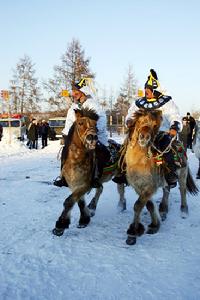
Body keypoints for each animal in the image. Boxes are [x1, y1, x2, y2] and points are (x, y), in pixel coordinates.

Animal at [52, 108, 125, 237]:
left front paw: (60, 225)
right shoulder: (74, 184)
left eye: (95, 125)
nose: (92, 137)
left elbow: (69, 201)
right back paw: (92, 207)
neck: (76, 161)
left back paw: (121, 206)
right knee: (100, 189)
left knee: (120, 190)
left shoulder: (85, 184)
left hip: (119, 175)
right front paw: (84, 219)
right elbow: (79, 201)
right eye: (80, 123)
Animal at [124, 109, 198, 245]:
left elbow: (138, 205)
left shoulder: (149, 187)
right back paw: (163, 209)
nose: (144, 137)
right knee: (166, 190)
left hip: (182, 174)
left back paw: (184, 211)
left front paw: (133, 232)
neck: (139, 162)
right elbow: (149, 205)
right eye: (140, 121)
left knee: (182, 190)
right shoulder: (139, 187)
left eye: (154, 125)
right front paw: (155, 225)